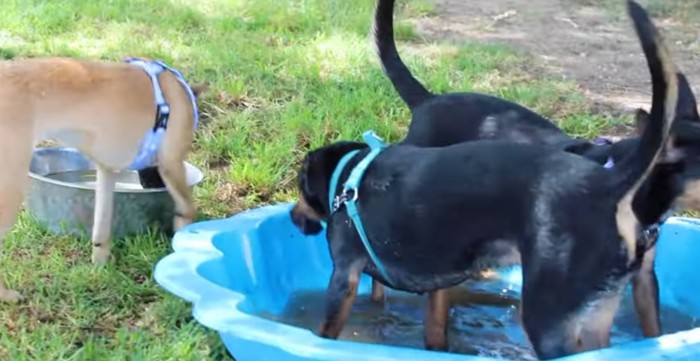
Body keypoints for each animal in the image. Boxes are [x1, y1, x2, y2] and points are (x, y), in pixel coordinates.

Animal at [0, 57, 206, 300]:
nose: (152, 185)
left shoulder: (106, 171)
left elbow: (102, 225)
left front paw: (100, 263)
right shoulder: (172, 163)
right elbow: (188, 208)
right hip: (10, 189)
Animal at [292, 2, 692, 358]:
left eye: (300, 189)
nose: (293, 217)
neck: (351, 176)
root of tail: (608, 186)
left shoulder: (343, 276)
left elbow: (328, 330)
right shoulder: (437, 289)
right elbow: (433, 332)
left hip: (549, 320)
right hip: (595, 317)